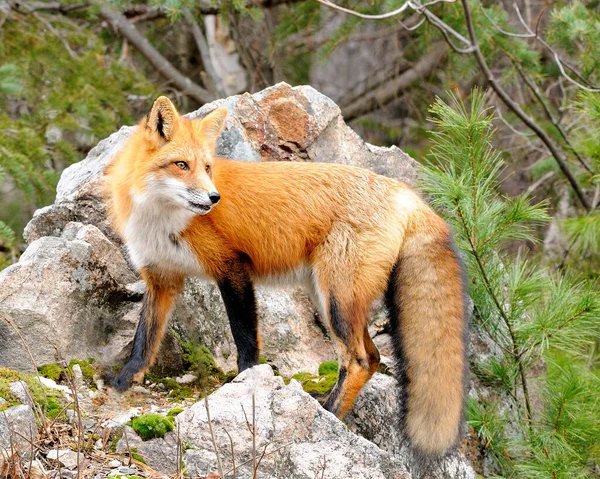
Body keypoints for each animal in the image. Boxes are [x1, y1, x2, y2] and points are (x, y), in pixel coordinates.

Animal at [106, 95, 468, 460]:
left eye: (207, 167)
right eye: (181, 165)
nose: (214, 198)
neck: (161, 219)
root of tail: (408, 194)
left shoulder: (231, 267)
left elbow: (245, 338)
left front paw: (246, 382)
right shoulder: (161, 278)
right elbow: (144, 338)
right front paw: (124, 380)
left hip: (336, 300)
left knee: (360, 360)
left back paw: (328, 413)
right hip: (328, 298)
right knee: (375, 357)